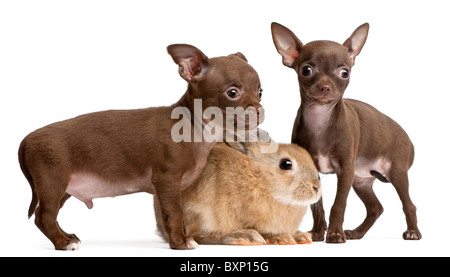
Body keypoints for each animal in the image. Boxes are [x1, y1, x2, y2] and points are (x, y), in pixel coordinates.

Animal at [153, 133, 322, 245]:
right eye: (286, 164)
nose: (316, 187)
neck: (260, 179)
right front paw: (281, 238)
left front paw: (300, 236)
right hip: (202, 212)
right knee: (198, 234)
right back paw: (243, 236)